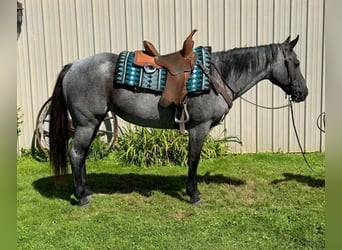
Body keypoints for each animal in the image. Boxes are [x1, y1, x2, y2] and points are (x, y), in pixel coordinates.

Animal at [48, 35, 308, 207]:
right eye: (296, 63)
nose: (303, 93)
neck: (217, 76)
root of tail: (73, 66)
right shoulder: (199, 127)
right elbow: (193, 160)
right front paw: (193, 194)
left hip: (94, 122)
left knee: (81, 156)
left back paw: (87, 190)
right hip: (87, 123)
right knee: (76, 154)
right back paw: (81, 196)